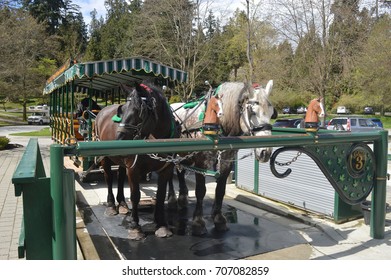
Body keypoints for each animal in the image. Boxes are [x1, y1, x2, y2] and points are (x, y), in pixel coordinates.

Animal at [94, 82, 180, 240]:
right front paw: (135, 226)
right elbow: (135, 196)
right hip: (106, 159)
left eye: (140, 111)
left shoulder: (166, 169)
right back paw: (111, 205)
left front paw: (161, 225)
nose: (118, 140)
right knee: (109, 178)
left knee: (120, 176)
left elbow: (160, 195)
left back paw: (122, 203)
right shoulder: (134, 169)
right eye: (122, 111)